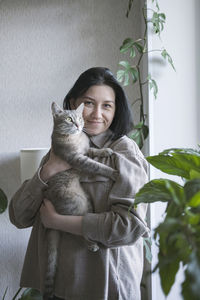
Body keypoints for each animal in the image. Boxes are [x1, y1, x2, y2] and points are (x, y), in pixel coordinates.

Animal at [43, 101, 116, 298]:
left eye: (80, 118)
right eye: (69, 119)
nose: (78, 125)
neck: (76, 139)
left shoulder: (86, 150)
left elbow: (94, 150)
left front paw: (106, 150)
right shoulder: (78, 159)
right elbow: (97, 166)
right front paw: (113, 172)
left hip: (87, 203)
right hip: (77, 205)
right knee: (79, 230)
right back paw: (91, 245)